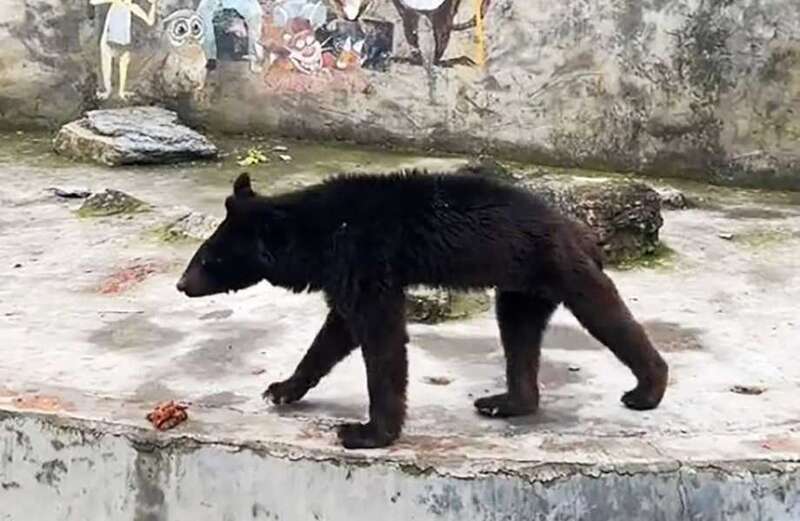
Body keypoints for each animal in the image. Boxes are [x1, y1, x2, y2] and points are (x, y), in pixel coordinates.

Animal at [177, 170, 668, 446]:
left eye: (207, 258)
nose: (182, 284)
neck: (318, 234)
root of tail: (579, 229)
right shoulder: (345, 271)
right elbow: (336, 332)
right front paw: (282, 388)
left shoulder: (363, 256)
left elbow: (381, 337)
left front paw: (366, 433)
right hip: (522, 286)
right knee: (519, 333)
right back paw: (507, 401)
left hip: (559, 266)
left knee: (606, 316)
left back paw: (646, 388)